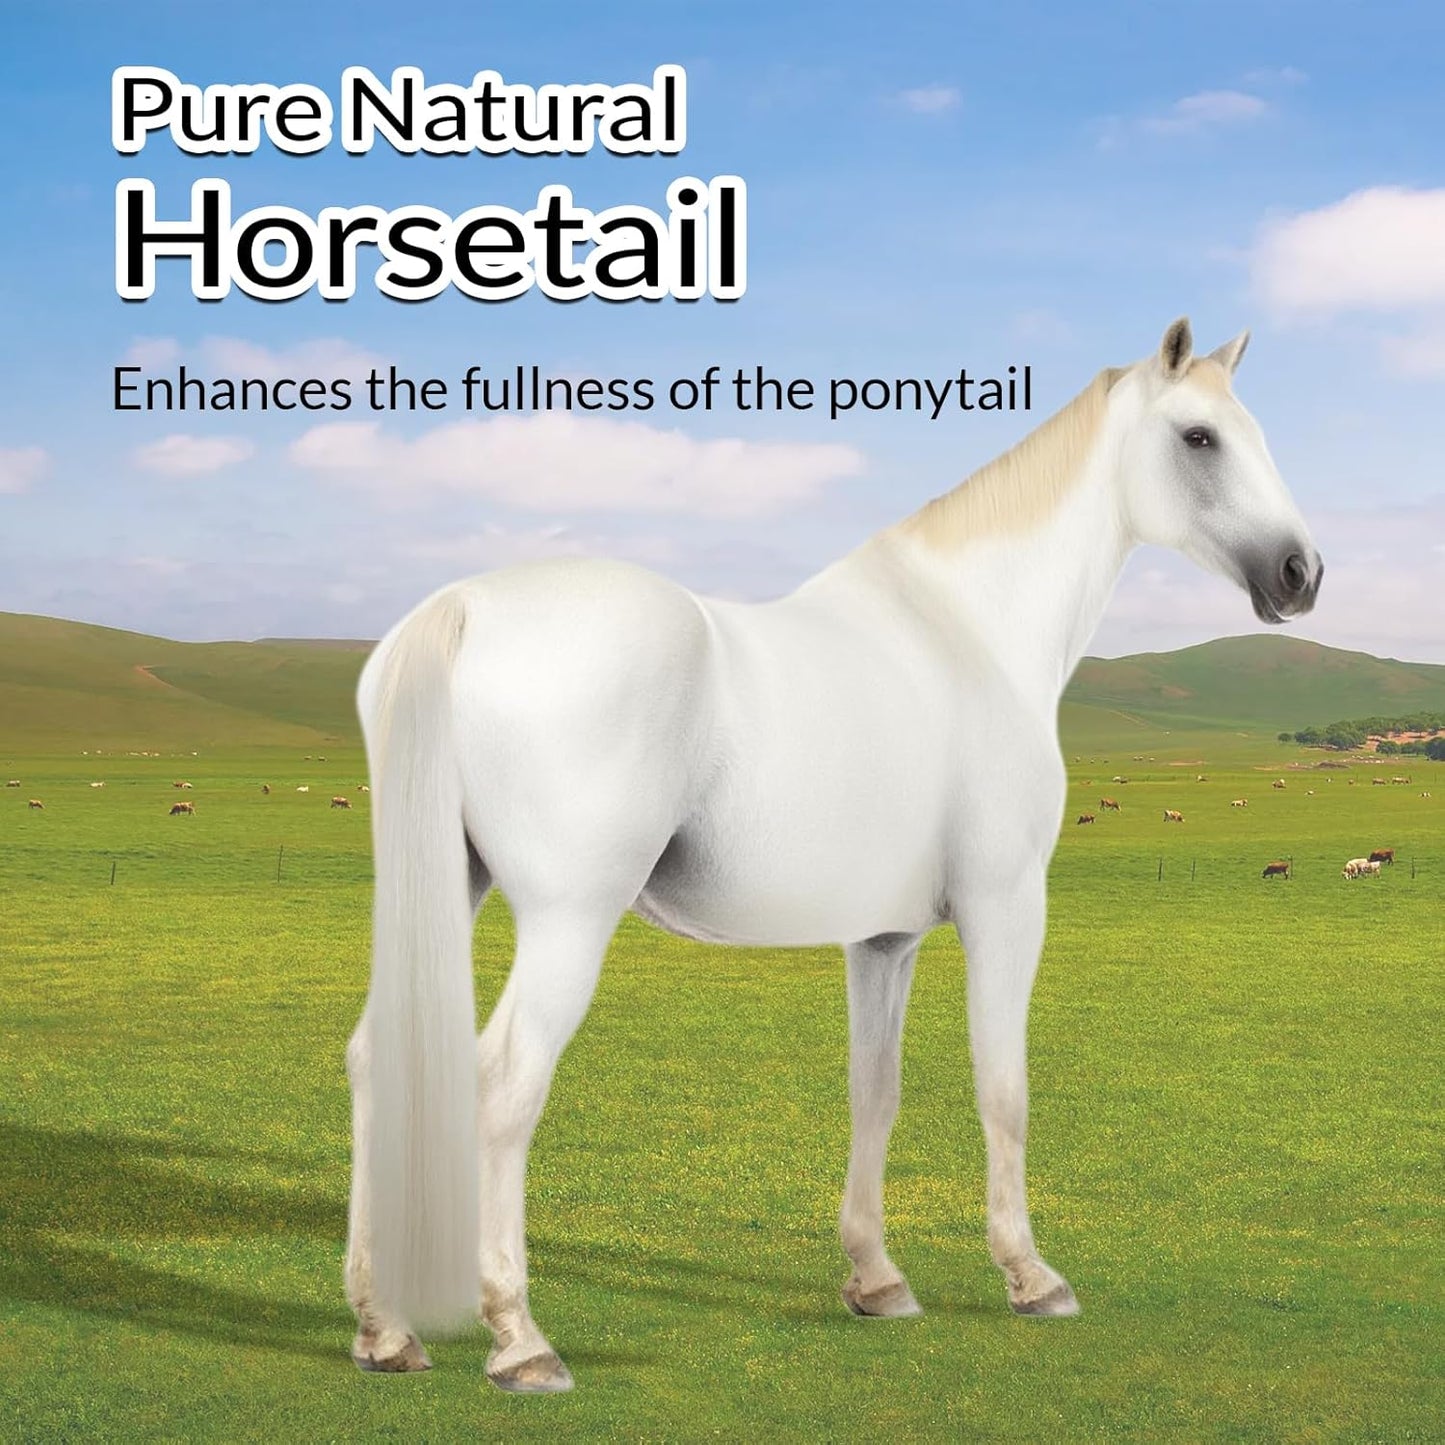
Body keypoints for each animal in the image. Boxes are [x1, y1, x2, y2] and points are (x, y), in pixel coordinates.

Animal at [343, 319, 1322, 1391]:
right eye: (1198, 437)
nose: (1300, 573)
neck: (968, 632)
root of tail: (462, 608)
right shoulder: (1005, 907)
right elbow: (1002, 1086)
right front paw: (1029, 1276)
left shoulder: (882, 940)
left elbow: (874, 1093)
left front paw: (875, 1278)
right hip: (569, 919)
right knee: (504, 1083)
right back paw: (519, 1339)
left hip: (448, 892)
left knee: (372, 1060)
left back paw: (383, 1329)